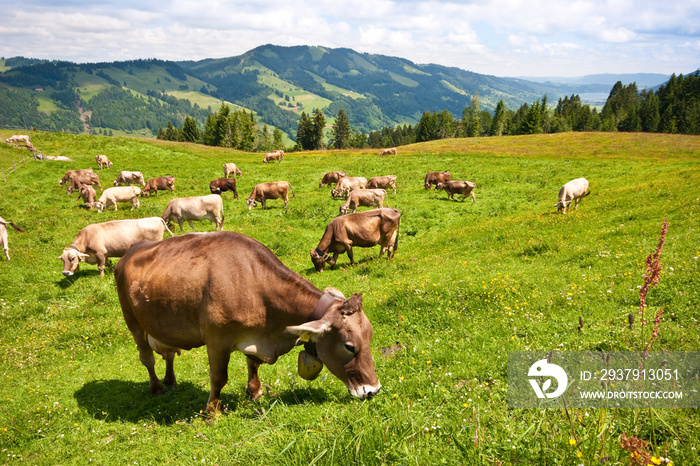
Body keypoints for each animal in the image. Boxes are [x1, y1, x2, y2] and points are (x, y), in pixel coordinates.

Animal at [114, 231, 380, 414]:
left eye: (370, 336)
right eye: (349, 346)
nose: (373, 390)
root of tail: (132, 249)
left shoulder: (254, 335)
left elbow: (253, 363)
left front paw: (255, 391)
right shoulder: (217, 340)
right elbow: (218, 378)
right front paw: (212, 411)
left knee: (168, 353)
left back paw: (170, 382)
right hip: (132, 321)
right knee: (147, 358)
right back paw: (157, 387)